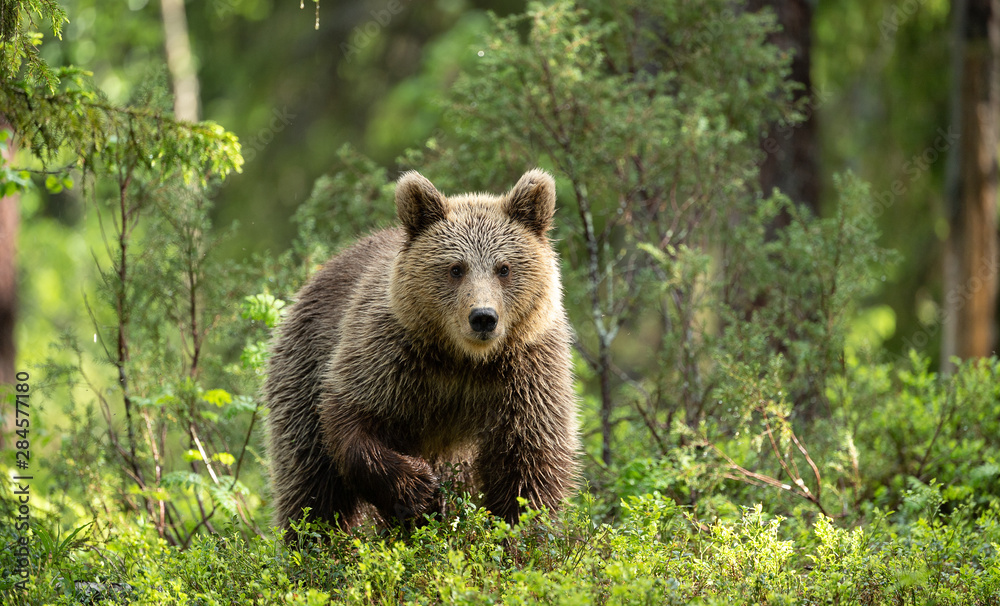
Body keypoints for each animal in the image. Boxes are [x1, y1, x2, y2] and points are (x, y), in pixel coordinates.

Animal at [265, 168, 579, 532]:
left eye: (504, 268)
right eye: (456, 268)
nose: (483, 317)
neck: (463, 360)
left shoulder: (526, 374)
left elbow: (528, 467)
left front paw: (517, 532)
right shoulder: (389, 358)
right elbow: (352, 424)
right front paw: (418, 489)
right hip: (302, 368)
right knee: (312, 487)